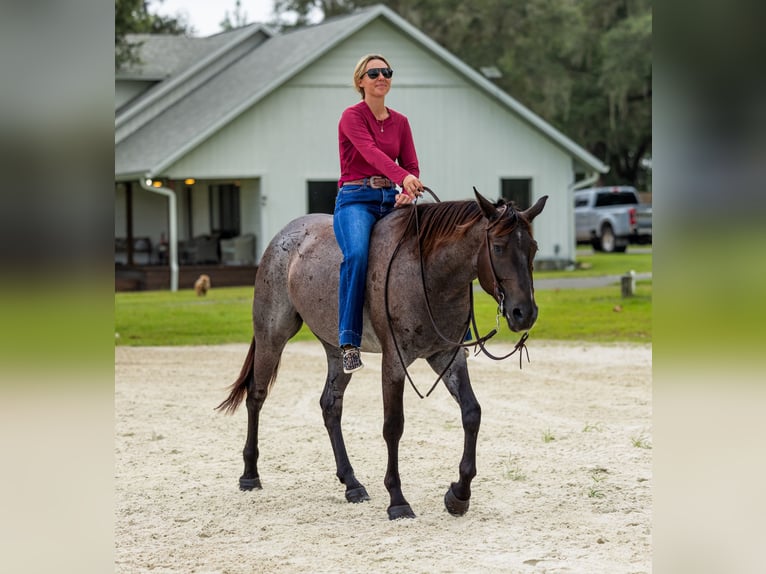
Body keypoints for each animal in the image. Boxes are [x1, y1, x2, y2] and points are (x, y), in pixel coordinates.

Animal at [216, 188, 547, 520]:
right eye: (499, 247)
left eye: (533, 248)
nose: (525, 313)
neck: (428, 274)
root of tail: (282, 238)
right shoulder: (394, 362)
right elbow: (393, 426)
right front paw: (398, 500)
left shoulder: (447, 356)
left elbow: (472, 413)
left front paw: (459, 494)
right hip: (272, 335)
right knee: (256, 395)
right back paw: (250, 474)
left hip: (337, 351)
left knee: (330, 406)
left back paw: (351, 483)